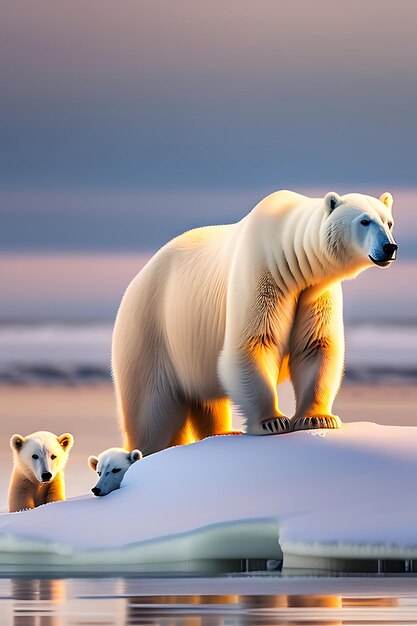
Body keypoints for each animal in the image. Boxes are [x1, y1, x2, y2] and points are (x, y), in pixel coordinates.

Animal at [111, 188, 396, 450]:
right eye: (365, 221)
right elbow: (255, 342)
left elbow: (315, 346)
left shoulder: (314, 292)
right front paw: (273, 421)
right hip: (151, 330)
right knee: (152, 412)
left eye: (389, 222)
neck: (291, 254)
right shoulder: (263, 276)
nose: (389, 247)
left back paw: (224, 432)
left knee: (207, 399)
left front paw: (318, 419)